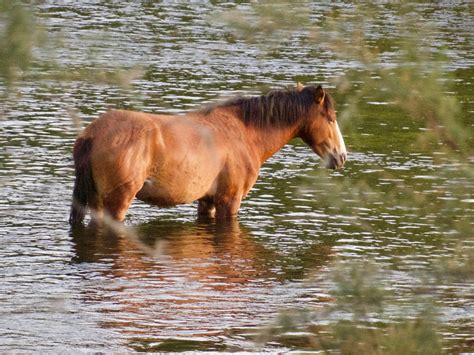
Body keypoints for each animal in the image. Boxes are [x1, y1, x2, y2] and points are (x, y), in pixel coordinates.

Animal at [68, 84, 346, 225]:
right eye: (331, 118)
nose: (341, 156)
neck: (244, 132)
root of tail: (91, 134)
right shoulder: (229, 201)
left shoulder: (207, 201)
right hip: (116, 202)